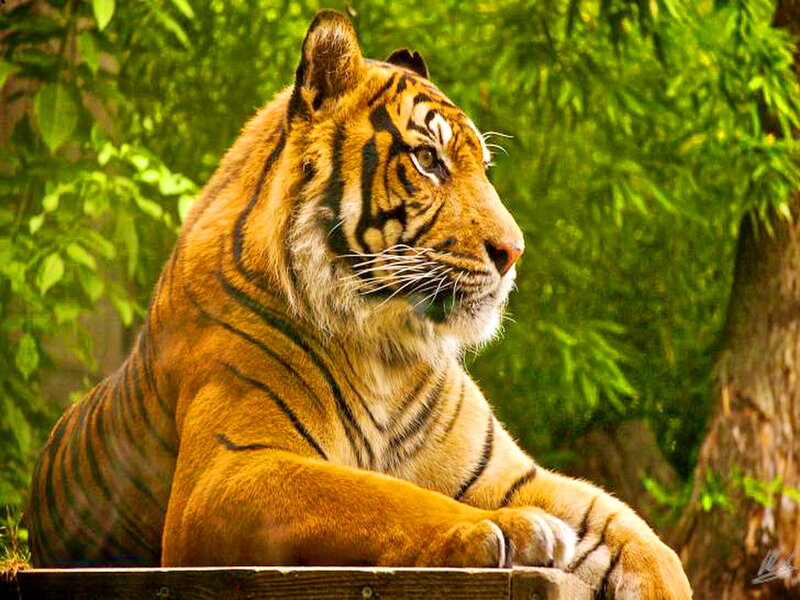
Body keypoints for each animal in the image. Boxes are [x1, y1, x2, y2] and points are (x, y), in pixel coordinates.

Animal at [27, 10, 692, 599]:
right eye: (428, 160)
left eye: (483, 166)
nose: (514, 252)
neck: (388, 350)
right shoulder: (226, 472)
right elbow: (383, 495)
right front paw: (502, 528)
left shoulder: (507, 473)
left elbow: (635, 531)